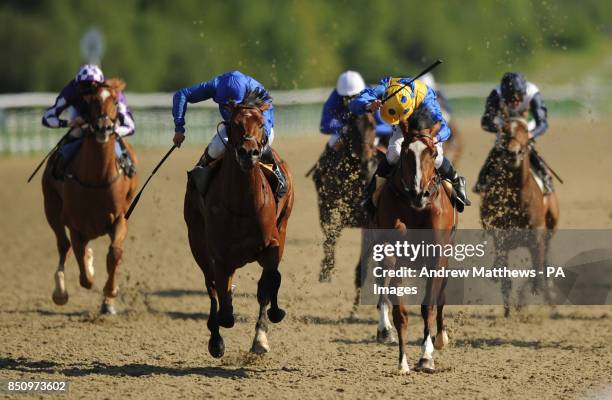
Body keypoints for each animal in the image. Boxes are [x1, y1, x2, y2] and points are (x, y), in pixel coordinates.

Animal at [42, 79, 139, 316]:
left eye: (116, 101)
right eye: (91, 101)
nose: (103, 128)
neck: (97, 178)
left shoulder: (119, 218)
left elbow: (114, 254)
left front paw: (110, 294)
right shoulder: (75, 223)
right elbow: (84, 272)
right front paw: (88, 271)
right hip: (51, 207)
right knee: (63, 245)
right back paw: (60, 292)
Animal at [184, 90, 294, 360]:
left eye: (262, 123)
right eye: (234, 124)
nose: (248, 152)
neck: (243, 204)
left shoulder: (272, 244)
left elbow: (268, 284)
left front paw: (264, 333)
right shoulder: (219, 255)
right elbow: (224, 309)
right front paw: (219, 335)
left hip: (283, 224)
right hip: (197, 243)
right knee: (212, 289)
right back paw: (216, 341)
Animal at [314, 111, 380, 282]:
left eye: (373, 126)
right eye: (354, 129)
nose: (367, 163)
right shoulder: (329, 209)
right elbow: (330, 237)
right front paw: (325, 272)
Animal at [370, 107, 456, 376]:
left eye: (434, 153)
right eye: (406, 153)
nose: (419, 194)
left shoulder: (437, 255)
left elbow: (428, 306)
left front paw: (426, 357)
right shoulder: (391, 252)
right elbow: (400, 311)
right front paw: (403, 363)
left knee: (441, 297)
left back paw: (440, 338)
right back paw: (384, 329)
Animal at [478, 112, 560, 316]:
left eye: (525, 132)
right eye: (505, 130)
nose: (513, 152)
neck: (518, 200)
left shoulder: (537, 236)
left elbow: (538, 268)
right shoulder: (501, 238)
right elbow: (505, 279)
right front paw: (508, 312)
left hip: (550, 229)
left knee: (545, 262)